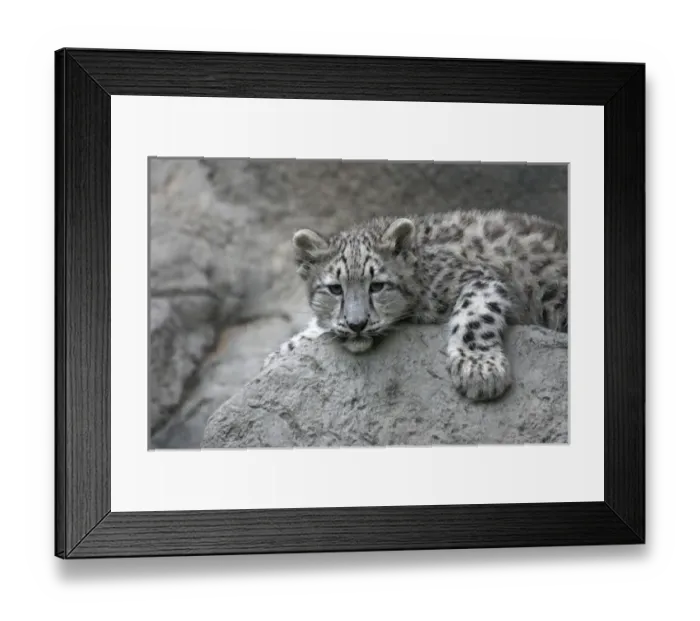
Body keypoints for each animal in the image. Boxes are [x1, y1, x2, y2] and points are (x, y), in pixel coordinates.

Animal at [262, 209, 567, 401]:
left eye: (377, 285)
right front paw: (278, 355)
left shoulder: (480, 277)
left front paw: (479, 371)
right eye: (335, 288)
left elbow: (475, 313)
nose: (356, 324)